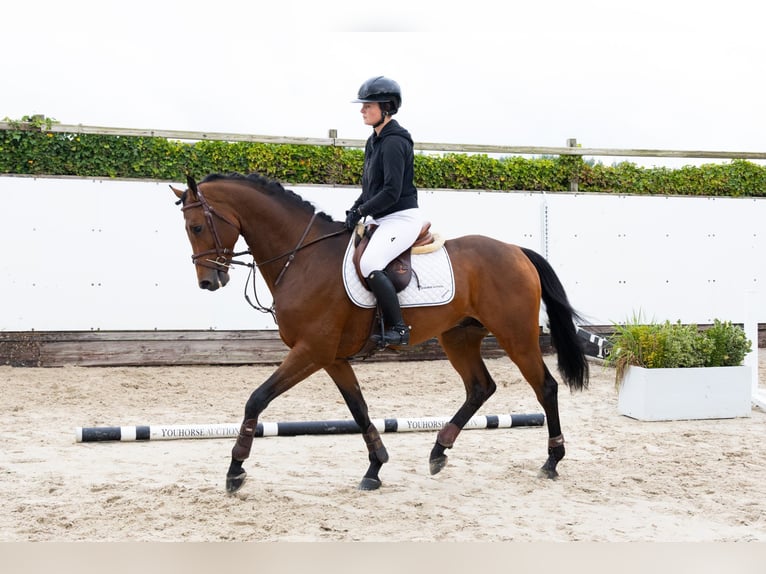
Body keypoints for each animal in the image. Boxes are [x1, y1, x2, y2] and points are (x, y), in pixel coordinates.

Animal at [171, 172, 589, 494]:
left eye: (196, 226)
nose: (209, 282)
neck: (302, 257)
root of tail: (517, 251)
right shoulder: (332, 357)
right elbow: (359, 409)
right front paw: (375, 467)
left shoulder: (311, 351)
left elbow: (256, 400)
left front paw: (235, 469)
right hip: (458, 336)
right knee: (480, 387)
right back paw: (439, 450)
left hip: (515, 336)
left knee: (545, 387)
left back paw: (552, 460)